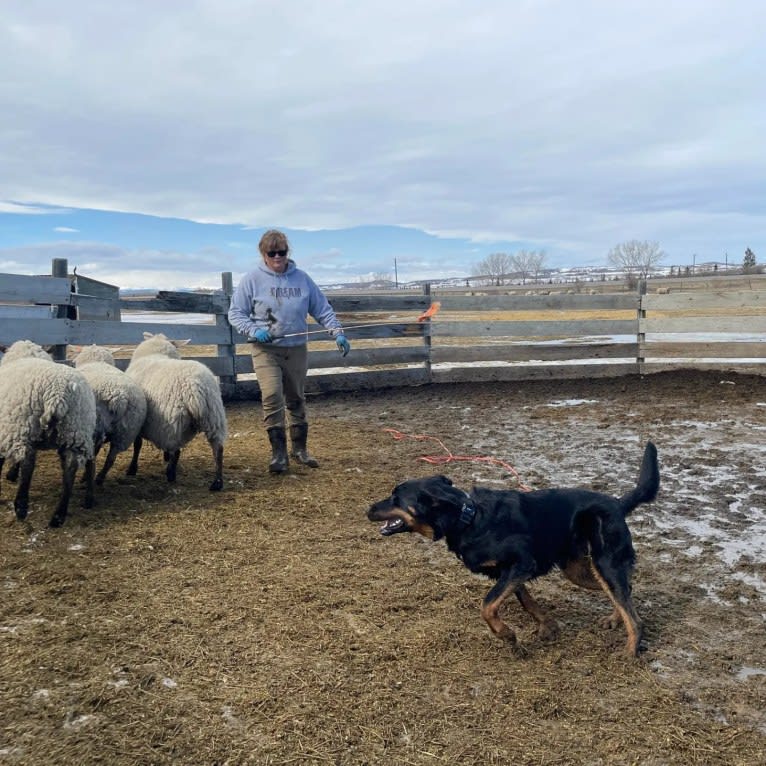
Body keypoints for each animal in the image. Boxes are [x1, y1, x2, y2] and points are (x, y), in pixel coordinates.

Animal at [0, 342, 97, 528]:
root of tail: (57, 393)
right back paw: (61, 514)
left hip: (25, 426)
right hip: (78, 430)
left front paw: (11, 474)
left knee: (28, 463)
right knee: (74, 466)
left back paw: (21, 507)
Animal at [73, 346, 149, 488]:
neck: (97, 360)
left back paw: (90, 478)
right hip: (125, 432)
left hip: (98, 427)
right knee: (111, 458)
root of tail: (119, 397)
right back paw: (100, 478)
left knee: (97, 457)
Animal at [126, 332, 226, 488]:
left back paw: (171, 474)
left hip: (174, 420)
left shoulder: (139, 421)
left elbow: (137, 445)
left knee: (177, 450)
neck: (156, 352)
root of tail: (196, 385)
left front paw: (132, 469)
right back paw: (217, 482)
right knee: (218, 449)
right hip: (214, 416)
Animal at [366, 440, 660, 656]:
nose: (367, 509)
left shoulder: (521, 564)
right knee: (625, 590)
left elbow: (487, 605)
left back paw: (630, 652)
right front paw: (547, 627)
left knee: (631, 610)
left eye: (396, 497)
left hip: (604, 563)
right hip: (577, 570)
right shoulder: (508, 573)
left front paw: (506, 634)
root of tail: (617, 503)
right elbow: (528, 603)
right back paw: (614, 619)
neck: (468, 518)